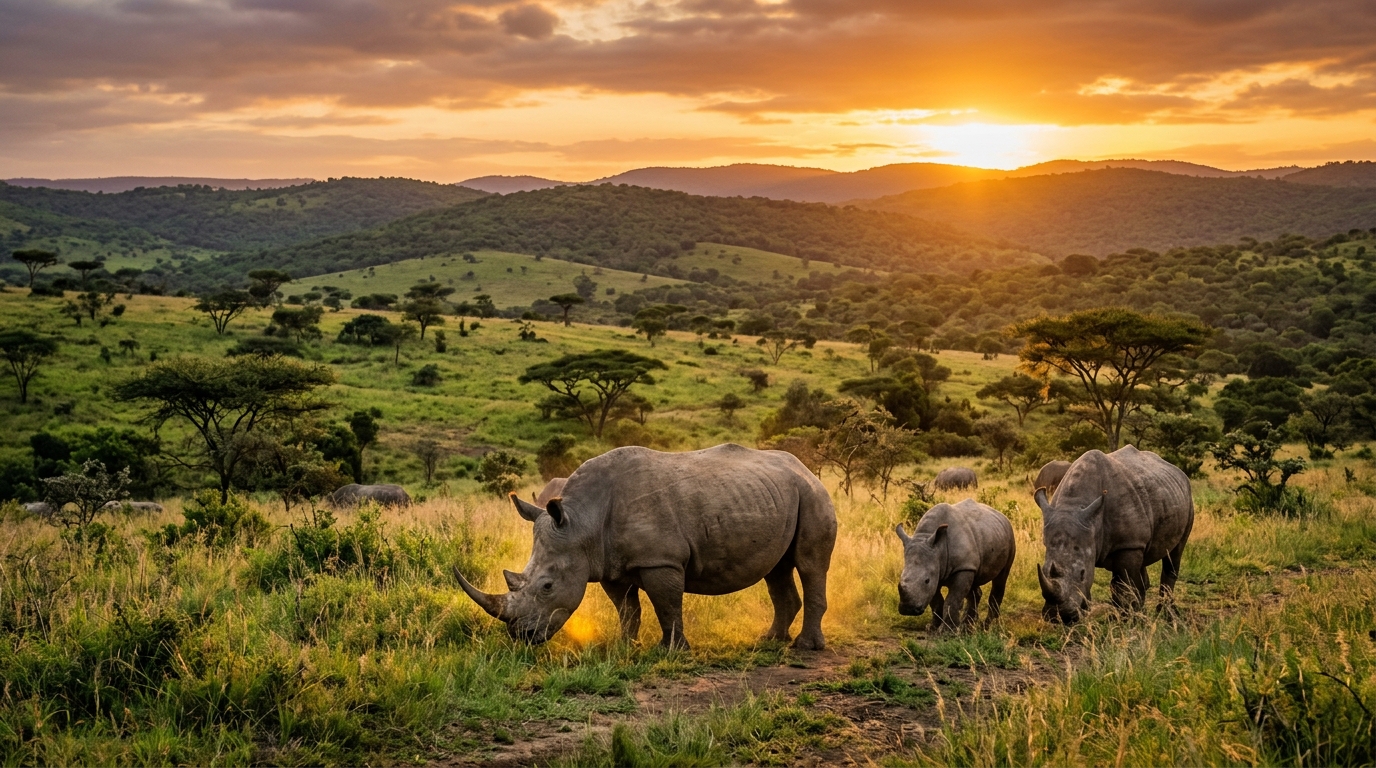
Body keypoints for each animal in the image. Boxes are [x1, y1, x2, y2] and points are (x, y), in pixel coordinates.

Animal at [455, 444, 837, 650]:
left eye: (547, 586)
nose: (522, 636)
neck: (582, 520)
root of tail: (805, 467)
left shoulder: (660, 560)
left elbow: (666, 605)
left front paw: (671, 651)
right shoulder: (608, 564)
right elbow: (627, 608)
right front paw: (625, 645)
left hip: (812, 495)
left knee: (810, 565)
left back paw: (805, 647)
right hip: (780, 494)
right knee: (777, 570)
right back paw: (769, 640)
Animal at [896, 499, 1014, 630]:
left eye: (926, 580)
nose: (908, 609)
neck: (938, 548)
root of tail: (1002, 516)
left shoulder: (962, 567)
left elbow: (952, 599)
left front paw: (946, 631)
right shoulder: (940, 569)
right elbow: (936, 601)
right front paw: (932, 628)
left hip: (1009, 537)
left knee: (1001, 577)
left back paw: (985, 627)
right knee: (974, 584)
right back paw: (967, 627)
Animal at [1035, 445, 1193, 623]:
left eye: (1082, 573)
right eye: (1044, 571)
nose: (1059, 617)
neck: (1074, 505)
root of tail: (1179, 472)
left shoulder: (1127, 545)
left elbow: (1125, 583)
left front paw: (1128, 620)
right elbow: (1119, 584)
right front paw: (1119, 617)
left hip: (1188, 500)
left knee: (1174, 553)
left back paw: (1166, 615)